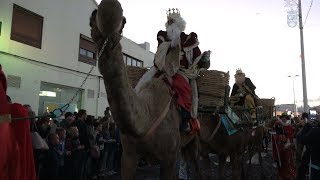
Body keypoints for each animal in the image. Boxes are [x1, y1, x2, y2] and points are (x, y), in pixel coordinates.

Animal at [89, 0, 201, 179]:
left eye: (124, 22)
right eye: (91, 21)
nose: (108, 10)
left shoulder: (169, 158)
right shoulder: (128, 156)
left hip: (196, 139)